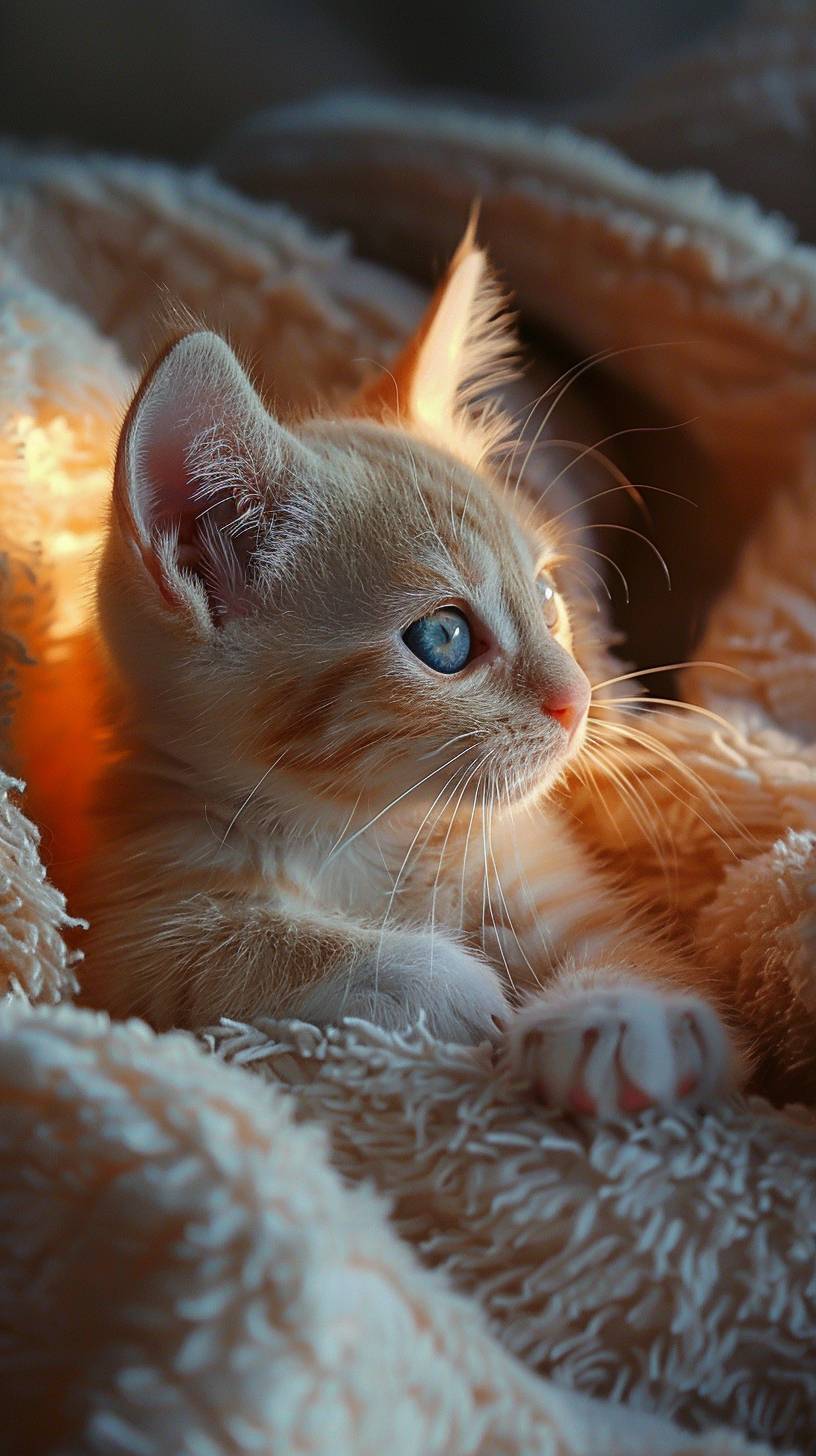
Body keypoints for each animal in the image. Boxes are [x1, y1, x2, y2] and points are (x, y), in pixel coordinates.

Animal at [77, 227, 740, 1112]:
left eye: (546, 596)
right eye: (445, 640)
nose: (578, 700)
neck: (361, 827)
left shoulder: (542, 872)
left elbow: (636, 948)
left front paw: (623, 1014)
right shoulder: (134, 912)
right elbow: (222, 946)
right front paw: (428, 978)